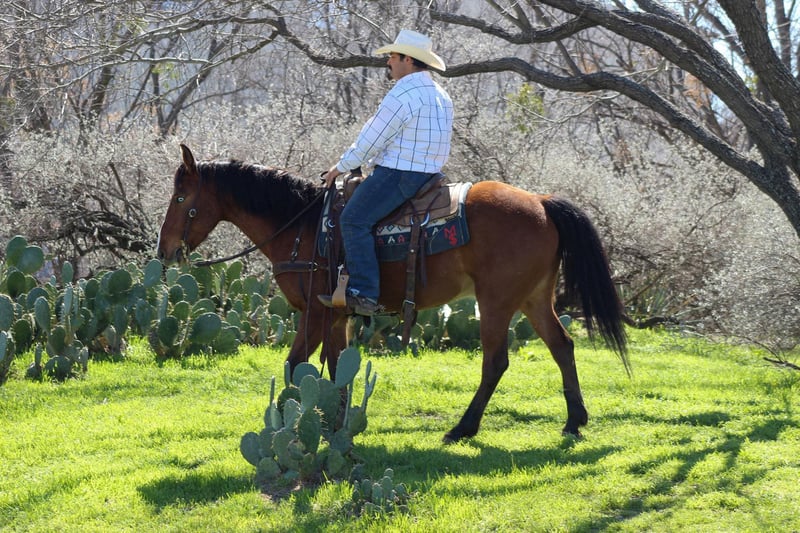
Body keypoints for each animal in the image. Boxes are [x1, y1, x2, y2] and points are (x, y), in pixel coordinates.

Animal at [157, 144, 628, 442]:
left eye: (181, 197)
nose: (163, 252)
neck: (301, 227)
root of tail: (542, 201)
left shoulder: (314, 313)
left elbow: (295, 366)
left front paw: (295, 421)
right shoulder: (336, 315)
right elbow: (335, 367)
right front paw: (335, 421)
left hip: (496, 301)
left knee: (495, 362)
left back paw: (463, 429)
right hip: (533, 299)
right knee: (562, 346)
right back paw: (574, 421)